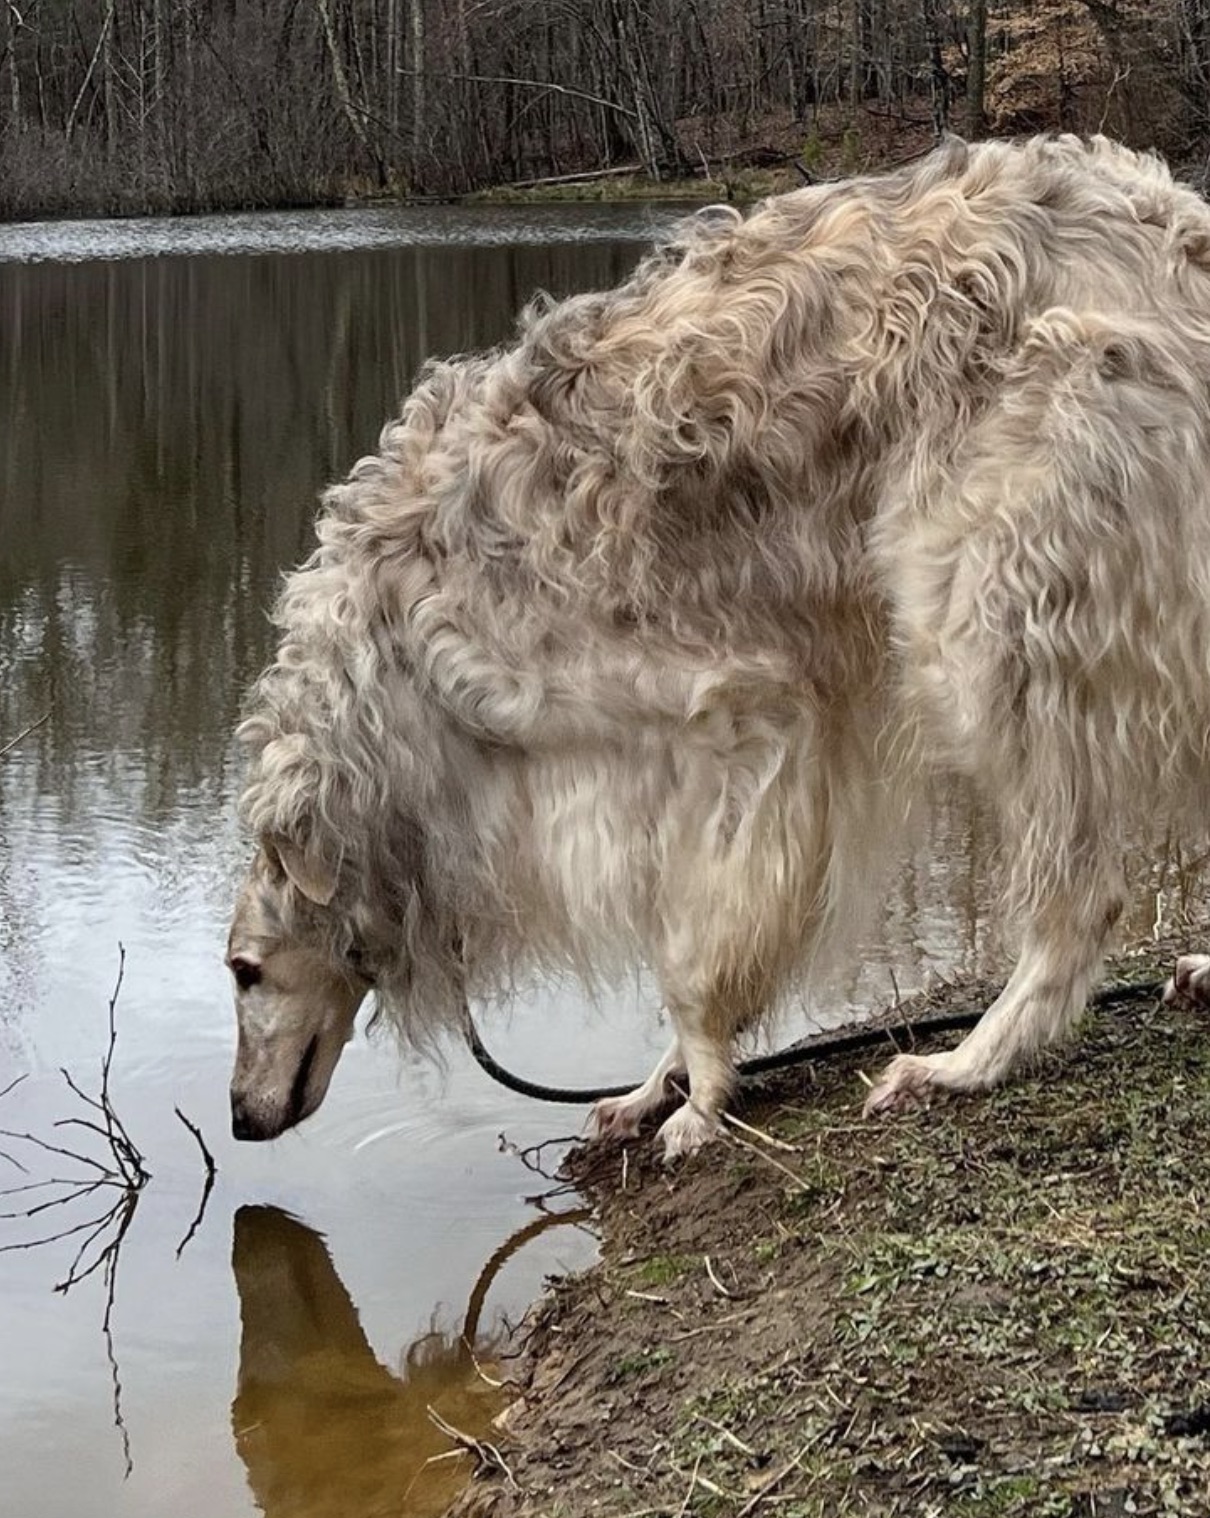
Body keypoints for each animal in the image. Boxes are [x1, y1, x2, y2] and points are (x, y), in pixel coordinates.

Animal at [226, 136, 1208, 1153]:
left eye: (242, 972)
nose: (239, 1119)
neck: (394, 667)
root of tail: (1164, 228)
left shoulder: (735, 729)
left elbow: (695, 959)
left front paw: (697, 1099)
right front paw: (658, 1085)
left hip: (990, 635)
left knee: (1079, 900)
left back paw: (968, 1059)